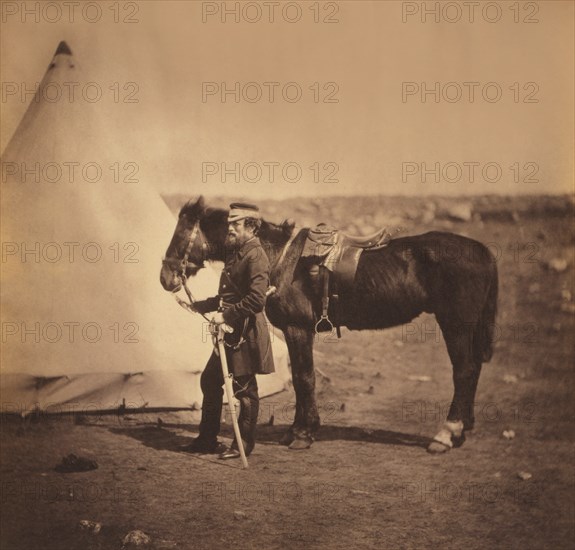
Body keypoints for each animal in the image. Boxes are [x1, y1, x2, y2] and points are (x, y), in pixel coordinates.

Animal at [160, 196, 498, 454]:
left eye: (180, 235)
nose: (165, 278)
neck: (278, 257)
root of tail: (482, 251)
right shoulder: (296, 331)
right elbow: (300, 378)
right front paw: (296, 430)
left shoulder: (298, 328)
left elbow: (304, 379)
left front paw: (303, 434)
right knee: (473, 370)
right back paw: (461, 429)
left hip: (456, 325)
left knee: (464, 370)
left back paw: (447, 433)